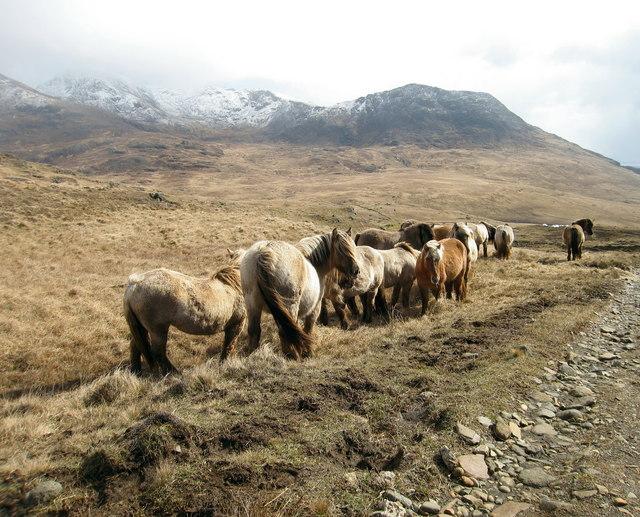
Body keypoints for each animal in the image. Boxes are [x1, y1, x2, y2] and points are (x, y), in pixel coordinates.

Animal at [240, 228, 359, 360]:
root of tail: (265, 251)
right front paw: (308, 352)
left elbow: (296, 327)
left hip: (252, 305)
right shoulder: (315, 308)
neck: (314, 264)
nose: (356, 270)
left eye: (353, 246)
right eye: (341, 249)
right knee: (284, 331)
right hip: (289, 305)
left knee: (254, 330)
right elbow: (308, 329)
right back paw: (294, 356)